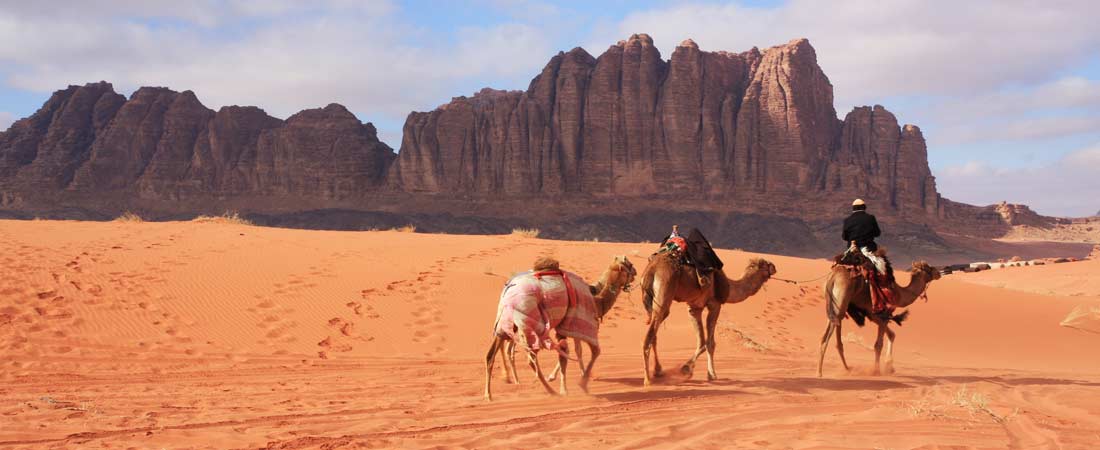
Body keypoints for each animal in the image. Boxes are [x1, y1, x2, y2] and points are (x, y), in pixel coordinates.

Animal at [484, 253, 638, 400]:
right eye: (629, 264)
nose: (636, 272)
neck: (597, 302)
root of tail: (508, 291)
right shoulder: (579, 323)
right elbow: (589, 352)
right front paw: (577, 385)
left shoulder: (570, 327)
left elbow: (571, 352)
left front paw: (563, 379)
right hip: (531, 323)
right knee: (530, 358)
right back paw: (550, 391)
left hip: (503, 324)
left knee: (491, 354)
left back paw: (489, 394)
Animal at [638, 253, 774, 385]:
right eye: (765, 264)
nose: (774, 267)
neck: (729, 286)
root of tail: (652, 269)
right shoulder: (715, 304)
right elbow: (710, 343)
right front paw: (709, 374)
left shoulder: (694, 308)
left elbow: (701, 342)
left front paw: (689, 369)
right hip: (664, 291)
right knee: (649, 337)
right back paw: (647, 380)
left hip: (651, 303)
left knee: (654, 334)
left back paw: (658, 371)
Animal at [818, 259, 946, 376]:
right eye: (929, 268)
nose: (939, 273)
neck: (899, 294)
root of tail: (833, 277)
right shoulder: (883, 315)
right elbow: (878, 344)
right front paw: (876, 371)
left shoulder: (875, 316)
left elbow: (891, 334)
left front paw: (890, 367)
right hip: (841, 302)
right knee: (828, 337)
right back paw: (820, 372)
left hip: (832, 306)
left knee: (830, 337)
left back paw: (846, 369)